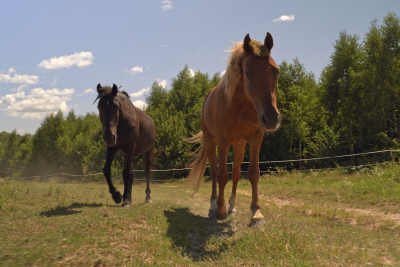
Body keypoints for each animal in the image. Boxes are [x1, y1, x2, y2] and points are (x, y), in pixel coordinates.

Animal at [188, 32, 280, 227]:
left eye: (276, 70)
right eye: (248, 72)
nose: (271, 118)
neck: (241, 106)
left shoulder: (256, 138)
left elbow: (253, 173)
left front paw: (256, 213)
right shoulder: (222, 140)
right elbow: (222, 175)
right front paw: (220, 210)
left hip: (239, 145)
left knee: (236, 173)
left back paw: (232, 206)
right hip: (211, 141)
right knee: (214, 172)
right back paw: (214, 206)